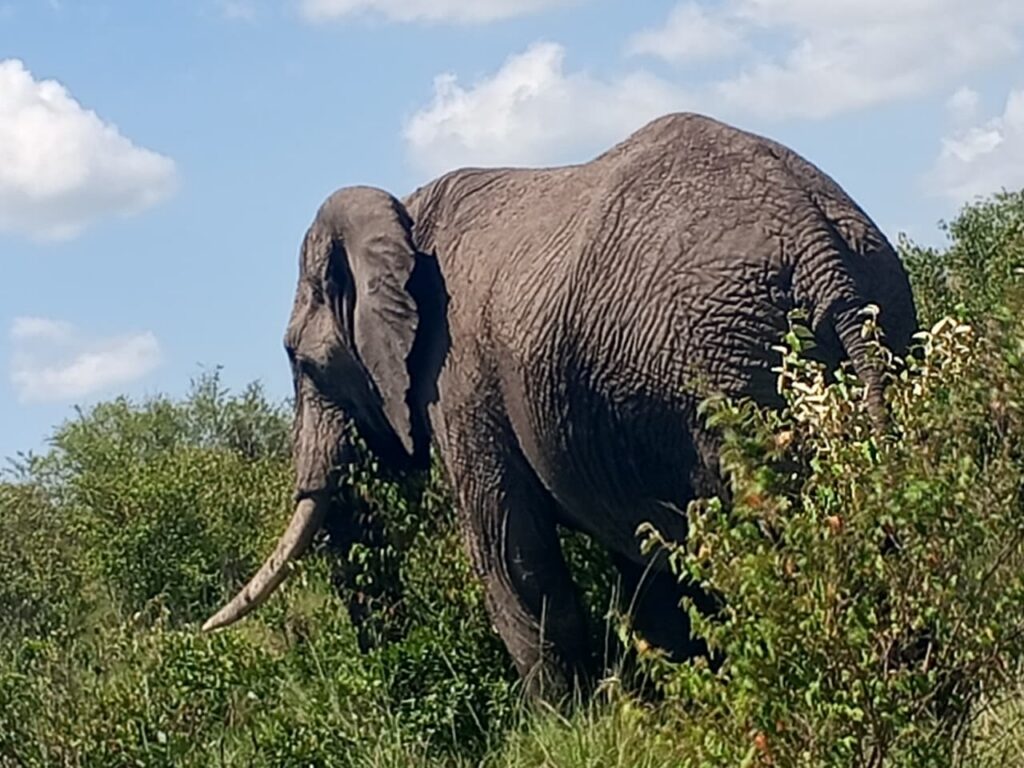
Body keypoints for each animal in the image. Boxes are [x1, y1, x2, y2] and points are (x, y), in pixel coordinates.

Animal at [203, 112, 917, 696]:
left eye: (300, 360)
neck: (402, 213)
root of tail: (818, 243)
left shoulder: (456, 374)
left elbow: (510, 553)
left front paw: (568, 727)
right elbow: (643, 563)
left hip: (723, 366)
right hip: (872, 317)